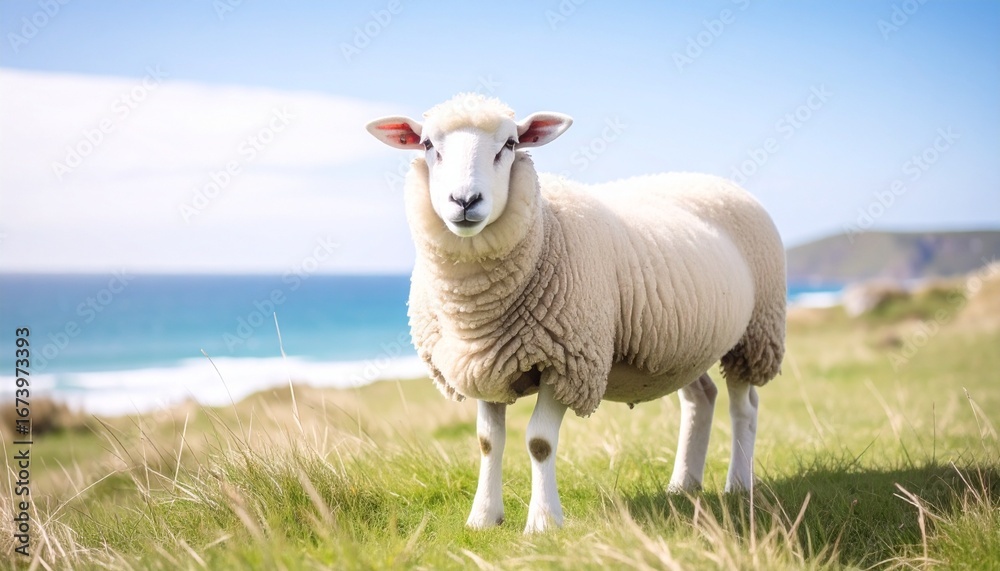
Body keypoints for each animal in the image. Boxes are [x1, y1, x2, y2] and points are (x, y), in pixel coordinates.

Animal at [365, 93, 786, 534]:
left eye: (510, 145)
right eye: (428, 145)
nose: (465, 201)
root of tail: (714, 181)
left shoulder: (568, 360)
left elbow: (539, 442)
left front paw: (543, 522)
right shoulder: (483, 364)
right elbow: (487, 441)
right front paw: (482, 518)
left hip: (755, 334)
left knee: (744, 407)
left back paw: (738, 484)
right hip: (682, 347)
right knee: (701, 398)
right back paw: (683, 485)